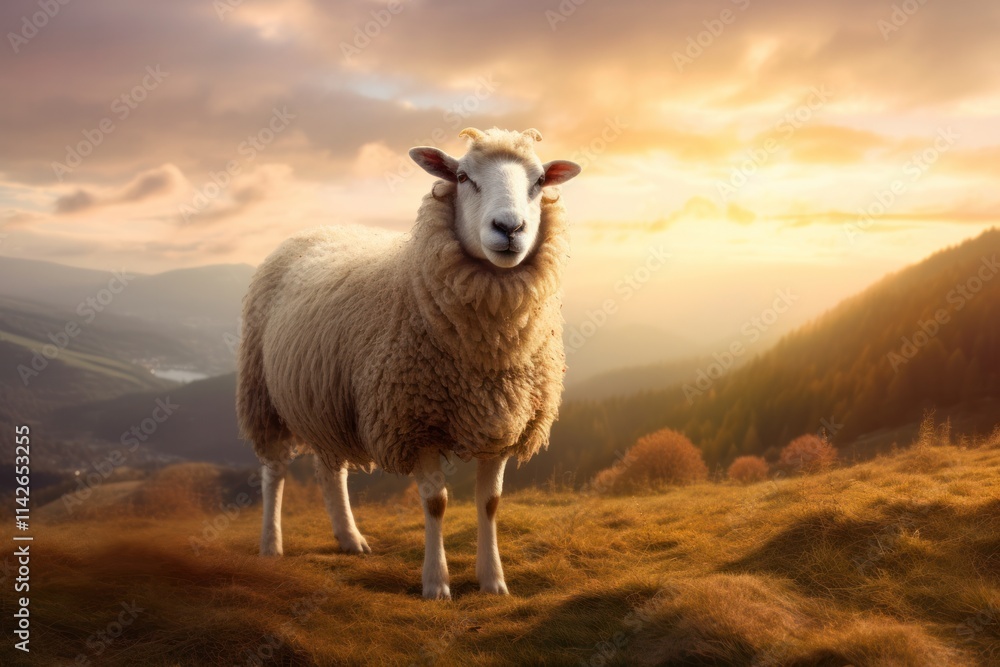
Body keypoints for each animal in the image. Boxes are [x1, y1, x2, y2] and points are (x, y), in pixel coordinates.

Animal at [236, 127, 581, 599]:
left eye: (540, 180)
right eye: (462, 177)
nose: (509, 227)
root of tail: (316, 228)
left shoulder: (502, 421)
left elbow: (490, 503)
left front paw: (493, 580)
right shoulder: (415, 420)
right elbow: (435, 503)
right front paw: (436, 584)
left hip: (327, 400)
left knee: (329, 471)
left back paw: (349, 539)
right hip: (264, 395)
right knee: (274, 471)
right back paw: (271, 545)